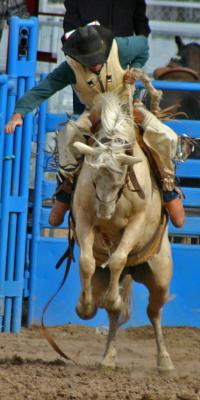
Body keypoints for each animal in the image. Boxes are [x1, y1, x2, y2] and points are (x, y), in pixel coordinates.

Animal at [72, 91, 174, 372]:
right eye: (94, 177)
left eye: (121, 177)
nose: (104, 212)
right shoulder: (84, 217)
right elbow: (86, 262)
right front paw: (84, 306)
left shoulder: (136, 223)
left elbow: (117, 258)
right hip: (104, 277)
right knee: (114, 313)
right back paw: (108, 356)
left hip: (160, 276)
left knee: (154, 311)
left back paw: (165, 361)